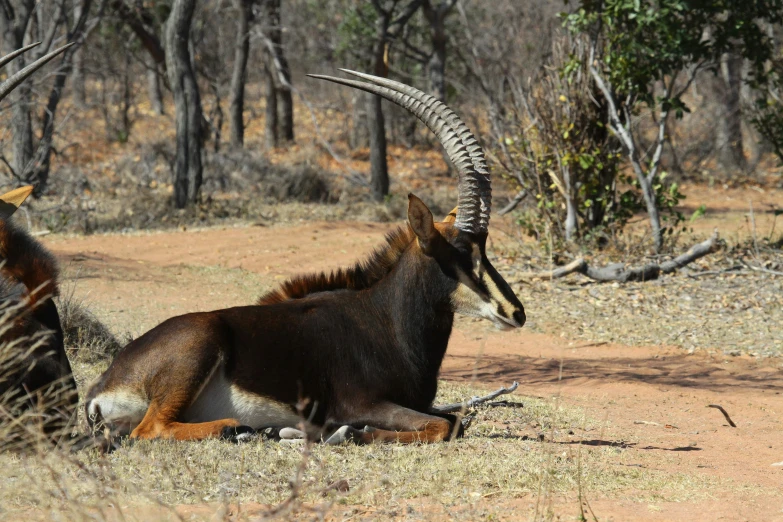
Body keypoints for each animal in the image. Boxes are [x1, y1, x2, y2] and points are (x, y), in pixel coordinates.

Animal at [86, 69, 528, 442]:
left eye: (485, 247)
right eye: (459, 251)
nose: (516, 312)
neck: (384, 319)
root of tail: (102, 387)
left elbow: (454, 418)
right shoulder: (360, 403)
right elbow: (446, 426)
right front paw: (352, 433)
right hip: (199, 347)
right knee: (150, 429)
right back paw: (239, 427)